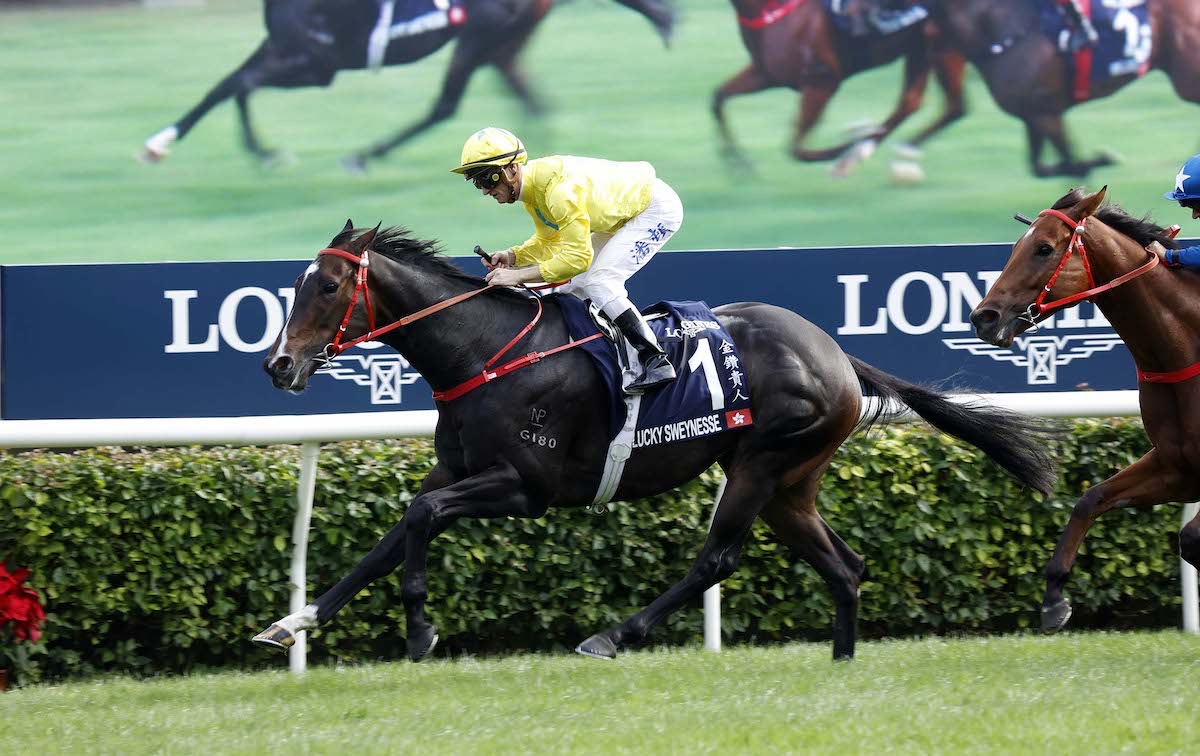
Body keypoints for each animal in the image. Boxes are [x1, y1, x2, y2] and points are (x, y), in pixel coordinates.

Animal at [140, 0, 672, 171]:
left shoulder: (317, 65)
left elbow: (240, 84)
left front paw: (266, 153)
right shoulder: (285, 47)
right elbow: (225, 86)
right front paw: (158, 143)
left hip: (477, 38)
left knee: (445, 106)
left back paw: (364, 155)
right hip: (502, 46)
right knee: (531, 102)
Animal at [258, 222, 1056, 662]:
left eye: (327, 287)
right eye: (297, 285)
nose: (279, 365)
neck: (481, 352)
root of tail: (835, 353)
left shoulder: (524, 487)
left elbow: (420, 524)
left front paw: (421, 629)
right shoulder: (451, 474)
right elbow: (390, 538)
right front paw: (292, 623)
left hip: (761, 464)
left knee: (718, 558)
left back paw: (613, 635)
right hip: (791, 481)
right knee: (845, 565)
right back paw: (841, 660)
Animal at [710, 0, 964, 175]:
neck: (771, 9)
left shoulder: (823, 80)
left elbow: (797, 149)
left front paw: (847, 148)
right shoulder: (767, 74)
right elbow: (718, 96)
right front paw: (739, 165)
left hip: (943, 48)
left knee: (950, 107)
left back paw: (859, 152)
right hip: (922, 49)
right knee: (917, 103)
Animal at [969, 188, 1195, 633]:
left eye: (1043, 248)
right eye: (1017, 245)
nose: (983, 317)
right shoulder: (1177, 466)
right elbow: (1091, 499)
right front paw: (1054, 599)